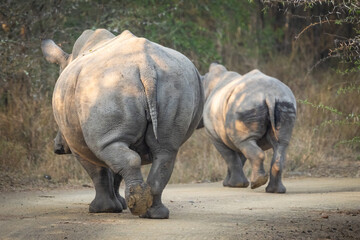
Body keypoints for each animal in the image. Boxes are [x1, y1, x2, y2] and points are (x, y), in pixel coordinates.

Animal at [41, 29, 204, 218]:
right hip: (176, 83)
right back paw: (153, 213)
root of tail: (146, 65)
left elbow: (98, 172)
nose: (58, 148)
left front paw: (102, 209)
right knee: (165, 151)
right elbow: (114, 171)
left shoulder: (80, 142)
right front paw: (119, 204)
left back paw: (137, 205)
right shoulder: (108, 133)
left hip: (106, 86)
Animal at [201, 63, 296, 193]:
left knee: (246, 143)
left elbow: (230, 157)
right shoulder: (232, 134)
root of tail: (270, 95)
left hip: (245, 105)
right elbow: (240, 157)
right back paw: (275, 190)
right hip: (285, 104)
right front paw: (234, 183)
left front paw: (235, 185)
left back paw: (256, 183)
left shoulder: (214, 136)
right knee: (281, 143)